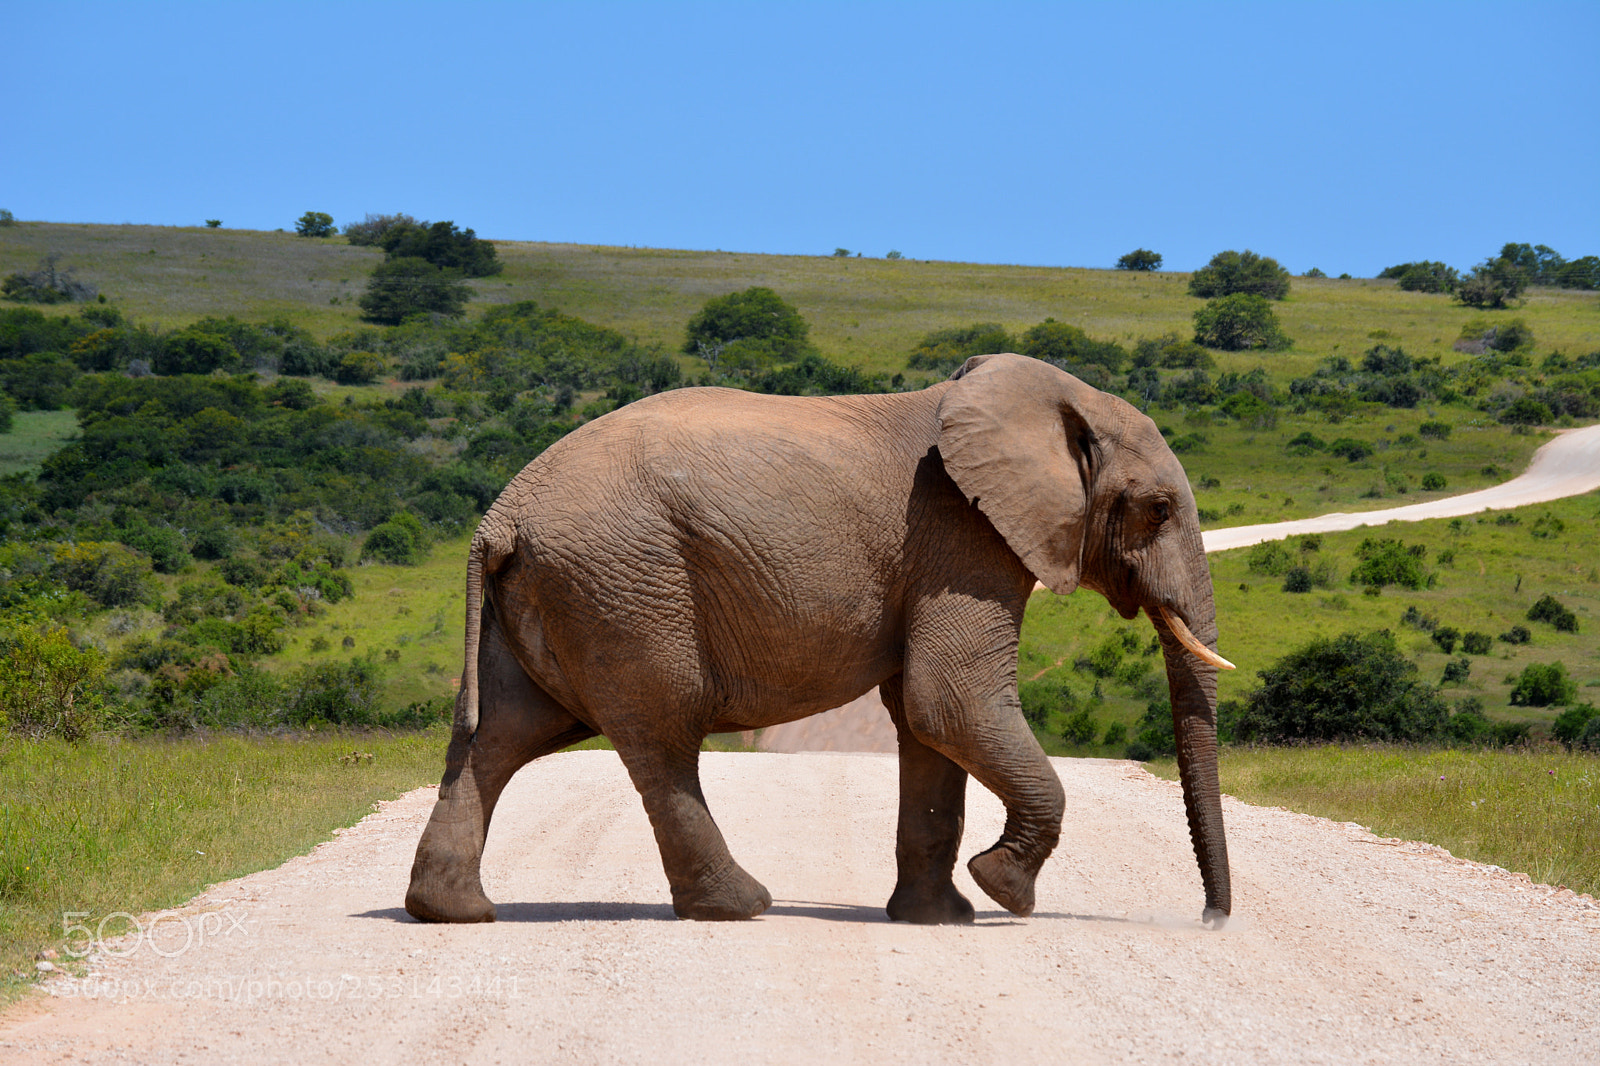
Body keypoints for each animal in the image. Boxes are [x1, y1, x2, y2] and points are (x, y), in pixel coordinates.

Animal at [405, 352, 1234, 927]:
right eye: (1158, 510)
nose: (1210, 919)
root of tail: (500, 515)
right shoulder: (961, 536)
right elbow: (950, 703)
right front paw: (1003, 889)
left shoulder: (939, 552)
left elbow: (925, 720)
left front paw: (940, 919)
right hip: (627, 585)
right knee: (661, 736)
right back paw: (740, 906)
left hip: (551, 594)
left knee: (503, 734)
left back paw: (452, 914)